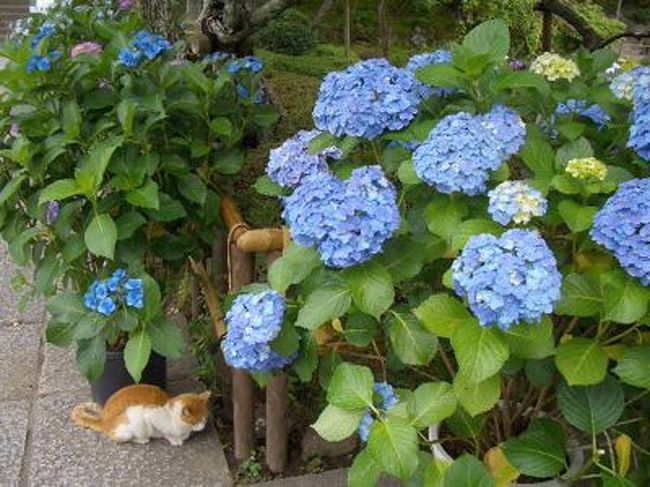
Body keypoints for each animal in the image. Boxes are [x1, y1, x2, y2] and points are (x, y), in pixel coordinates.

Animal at [73, 386, 210, 446]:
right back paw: (142, 439)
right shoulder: (148, 414)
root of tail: (103, 420)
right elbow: (164, 432)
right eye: (198, 419)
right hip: (128, 427)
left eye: (205, 416)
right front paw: (174, 440)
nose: (204, 423)